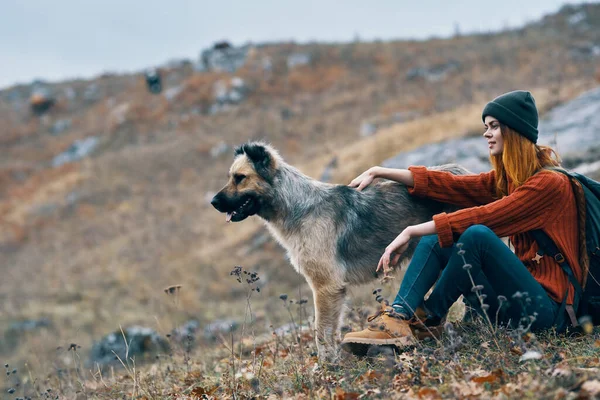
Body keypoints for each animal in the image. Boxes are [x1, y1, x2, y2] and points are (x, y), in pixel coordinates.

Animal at [211, 142, 468, 360]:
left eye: (240, 178)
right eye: (231, 177)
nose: (213, 202)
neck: (298, 207)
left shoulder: (326, 287)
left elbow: (322, 333)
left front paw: (326, 366)